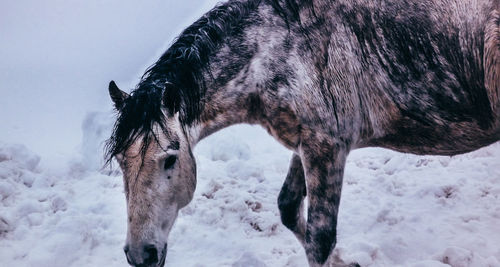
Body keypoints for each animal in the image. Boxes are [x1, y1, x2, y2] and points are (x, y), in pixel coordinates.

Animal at [103, 1, 498, 266]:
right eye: (121, 162)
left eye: (170, 159)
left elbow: (319, 239)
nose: (140, 254)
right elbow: (289, 209)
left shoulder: (328, 149)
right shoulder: (307, 143)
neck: (282, 48)